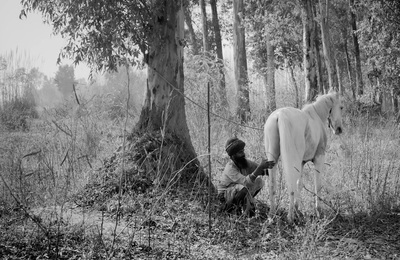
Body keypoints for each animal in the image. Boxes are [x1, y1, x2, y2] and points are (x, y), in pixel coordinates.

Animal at [264, 91, 342, 221]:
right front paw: (318, 212)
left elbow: (299, 184)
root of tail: (280, 115)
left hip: (273, 159)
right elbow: (317, 185)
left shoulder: (302, 162)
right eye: (341, 107)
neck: (316, 116)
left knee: (272, 185)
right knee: (290, 185)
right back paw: (290, 217)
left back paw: (272, 214)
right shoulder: (319, 158)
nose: (339, 130)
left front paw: (298, 210)